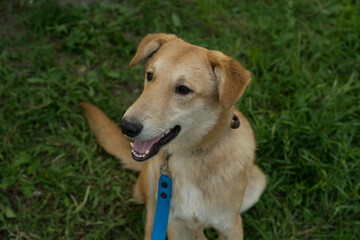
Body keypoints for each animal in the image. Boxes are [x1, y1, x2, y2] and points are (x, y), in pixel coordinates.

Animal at [81, 32, 268, 239]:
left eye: (183, 89)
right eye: (150, 75)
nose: (127, 127)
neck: (193, 156)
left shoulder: (230, 225)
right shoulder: (174, 223)